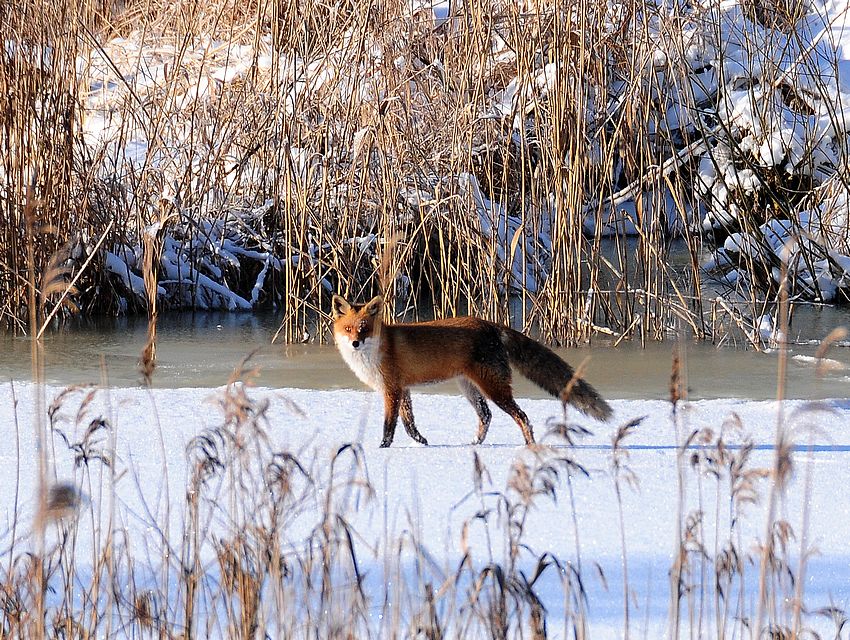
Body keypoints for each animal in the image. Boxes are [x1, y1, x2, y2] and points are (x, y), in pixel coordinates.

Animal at [332, 294, 608, 448]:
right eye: (349, 329)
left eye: (364, 329)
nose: (355, 343)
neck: (377, 351)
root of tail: (491, 325)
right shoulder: (403, 389)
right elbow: (409, 424)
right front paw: (422, 442)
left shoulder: (391, 390)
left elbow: (389, 426)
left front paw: (382, 448)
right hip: (470, 388)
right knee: (486, 416)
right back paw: (474, 445)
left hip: (494, 389)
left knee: (522, 417)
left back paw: (529, 447)